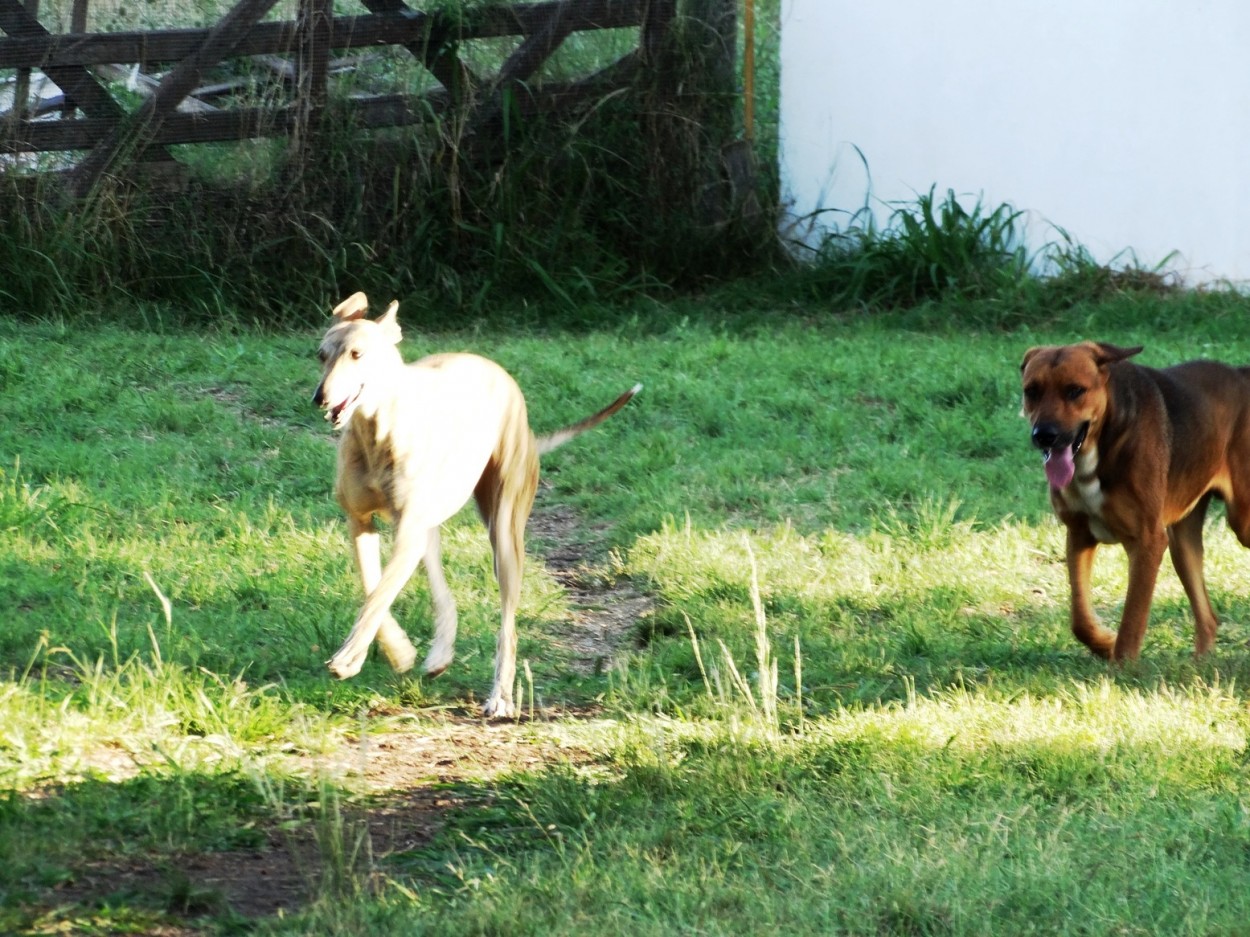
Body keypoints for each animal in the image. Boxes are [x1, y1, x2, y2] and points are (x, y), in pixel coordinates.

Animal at [312, 293, 645, 719]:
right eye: (322, 355)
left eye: (357, 354)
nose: (320, 397)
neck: (377, 430)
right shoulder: (361, 521)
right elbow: (374, 588)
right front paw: (397, 651)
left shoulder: (406, 530)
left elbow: (379, 593)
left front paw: (350, 657)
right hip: (430, 528)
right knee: (440, 586)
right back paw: (439, 654)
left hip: (504, 533)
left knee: (508, 623)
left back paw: (500, 695)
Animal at [1020, 342, 1250, 659]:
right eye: (1032, 390)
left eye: (1075, 390)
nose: (1044, 435)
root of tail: (1242, 373)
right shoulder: (1078, 534)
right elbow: (1080, 619)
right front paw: (1105, 643)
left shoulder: (1147, 542)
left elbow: (1132, 619)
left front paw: (1122, 665)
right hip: (1182, 541)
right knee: (1208, 618)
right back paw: (1200, 664)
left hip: (1242, 520)